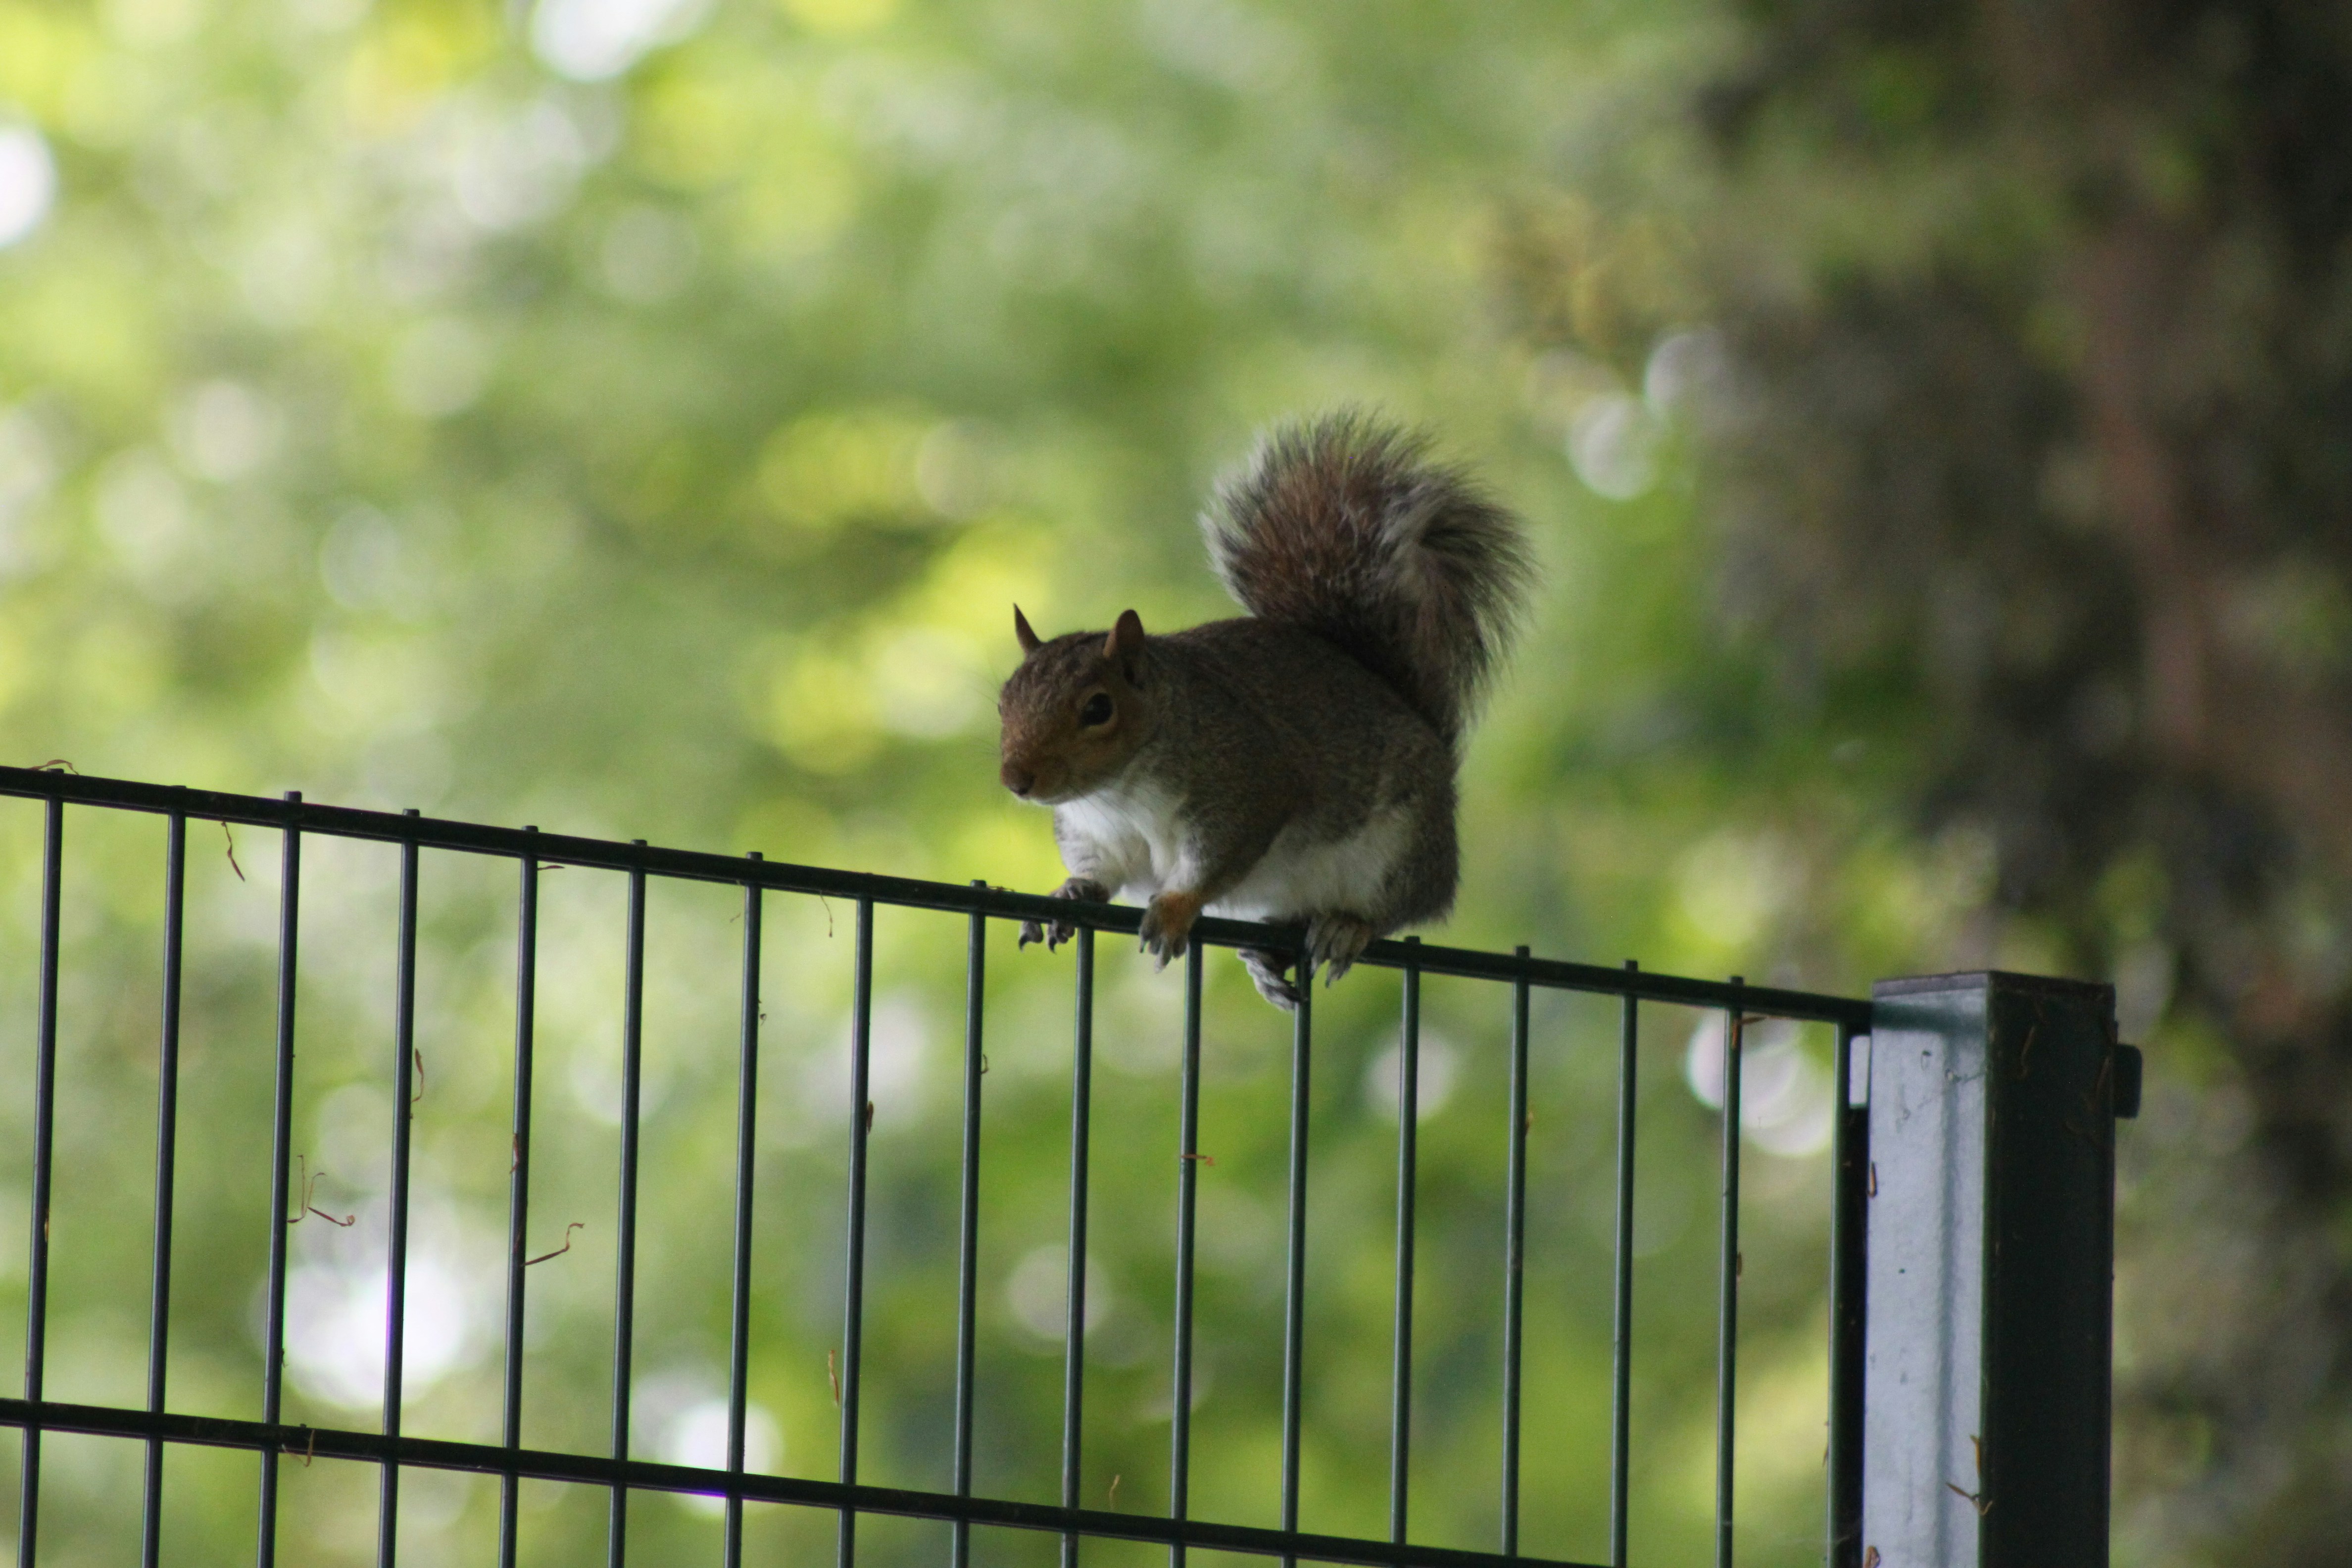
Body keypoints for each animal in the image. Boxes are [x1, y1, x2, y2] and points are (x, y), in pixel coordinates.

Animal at [996, 411, 1534, 1009]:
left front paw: (1176, 909)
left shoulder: (1243, 789)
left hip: (1402, 844)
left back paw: (1348, 926)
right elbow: (1103, 874)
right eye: (1003, 702)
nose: (1016, 779)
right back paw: (1269, 960)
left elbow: (1214, 864)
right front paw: (1071, 891)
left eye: (1097, 708)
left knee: (1405, 905)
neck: (1117, 795)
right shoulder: (1095, 838)